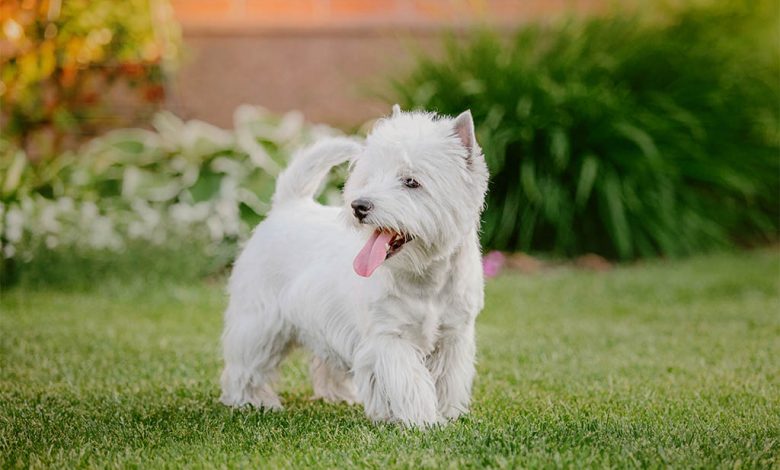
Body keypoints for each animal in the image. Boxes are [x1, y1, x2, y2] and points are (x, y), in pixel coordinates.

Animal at [219, 105, 488, 426]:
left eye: (411, 181)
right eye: (369, 177)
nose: (359, 206)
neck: (426, 281)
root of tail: (287, 205)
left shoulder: (453, 335)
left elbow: (448, 379)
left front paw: (449, 414)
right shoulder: (388, 338)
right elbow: (409, 380)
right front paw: (424, 420)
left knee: (324, 360)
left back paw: (339, 396)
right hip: (261, 319)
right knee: (247, 362)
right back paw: (252, 400)